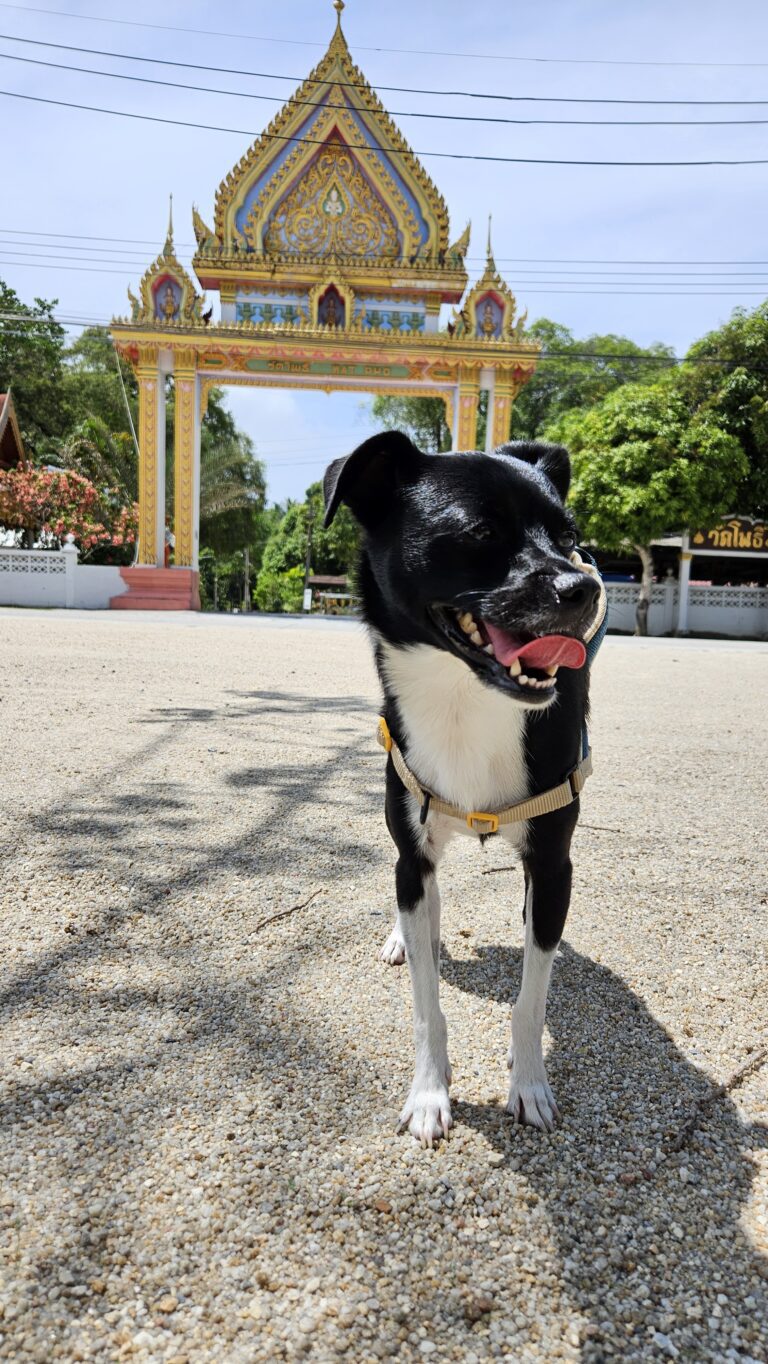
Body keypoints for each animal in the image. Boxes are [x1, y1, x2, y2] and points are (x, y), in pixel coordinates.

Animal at [321, 431, 602, 1145]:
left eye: (570, 537)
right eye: (481, 532)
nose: (585, 586)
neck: (463, 699)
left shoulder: (553, 863)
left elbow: (531, 998)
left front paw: (528, 1084)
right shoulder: (413, 849)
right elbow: (426, 1001)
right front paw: (428, 1092)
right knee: (423, 903)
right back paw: (404, 933)